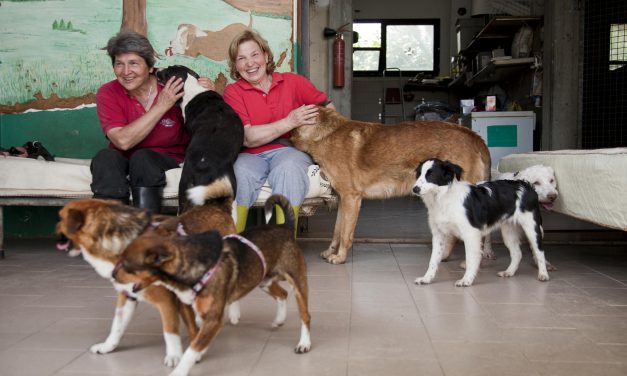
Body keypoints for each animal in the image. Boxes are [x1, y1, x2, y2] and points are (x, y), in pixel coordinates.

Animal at [114, 194, 310, 376]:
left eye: (127, 265)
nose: (113, 275)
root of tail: (285, 227)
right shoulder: (194, 310)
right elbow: (195, 336)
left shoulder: (214, 319)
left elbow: (192, 349)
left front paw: (180, 370)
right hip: (263, 280)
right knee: (283, 294)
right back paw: (279, 319)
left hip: (298, 284)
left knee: (305, 316)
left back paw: (304, 344)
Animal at [292, 106, 494, 264]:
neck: (323, 133)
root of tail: (474, 136)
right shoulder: (344, 200)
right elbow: (337, 231)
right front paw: (331, 251)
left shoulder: (351, 199)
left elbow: (345, 235)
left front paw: (340, 257)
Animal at [412, 157, 548, 286]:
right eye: (418, 174)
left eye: (431, 175)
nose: (415, 189)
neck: (442, 199)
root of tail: (525, 184)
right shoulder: (438, 235)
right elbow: (433, 260)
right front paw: (426, 278)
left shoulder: (471, 234)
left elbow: (471, 259)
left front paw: (467, 280)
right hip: (508, 232)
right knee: (517, 253)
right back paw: (509, 272)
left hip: (532, 228)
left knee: (540, 251)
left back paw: (543, 274)